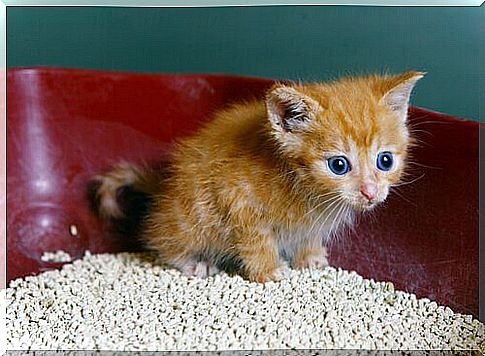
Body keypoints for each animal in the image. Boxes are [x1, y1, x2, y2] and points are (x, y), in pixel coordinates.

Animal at [92, 71, 422, 284]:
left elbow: (309, 237)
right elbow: (257, 241)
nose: (370, 192)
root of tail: (164, 186)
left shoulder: (312, 223)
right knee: (161, 239)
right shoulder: (237, 197)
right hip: (189, 219)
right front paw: (269, 271)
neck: (307, 192)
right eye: (339, 165)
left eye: (385, 160)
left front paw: (311, 259)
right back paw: (194, 262)